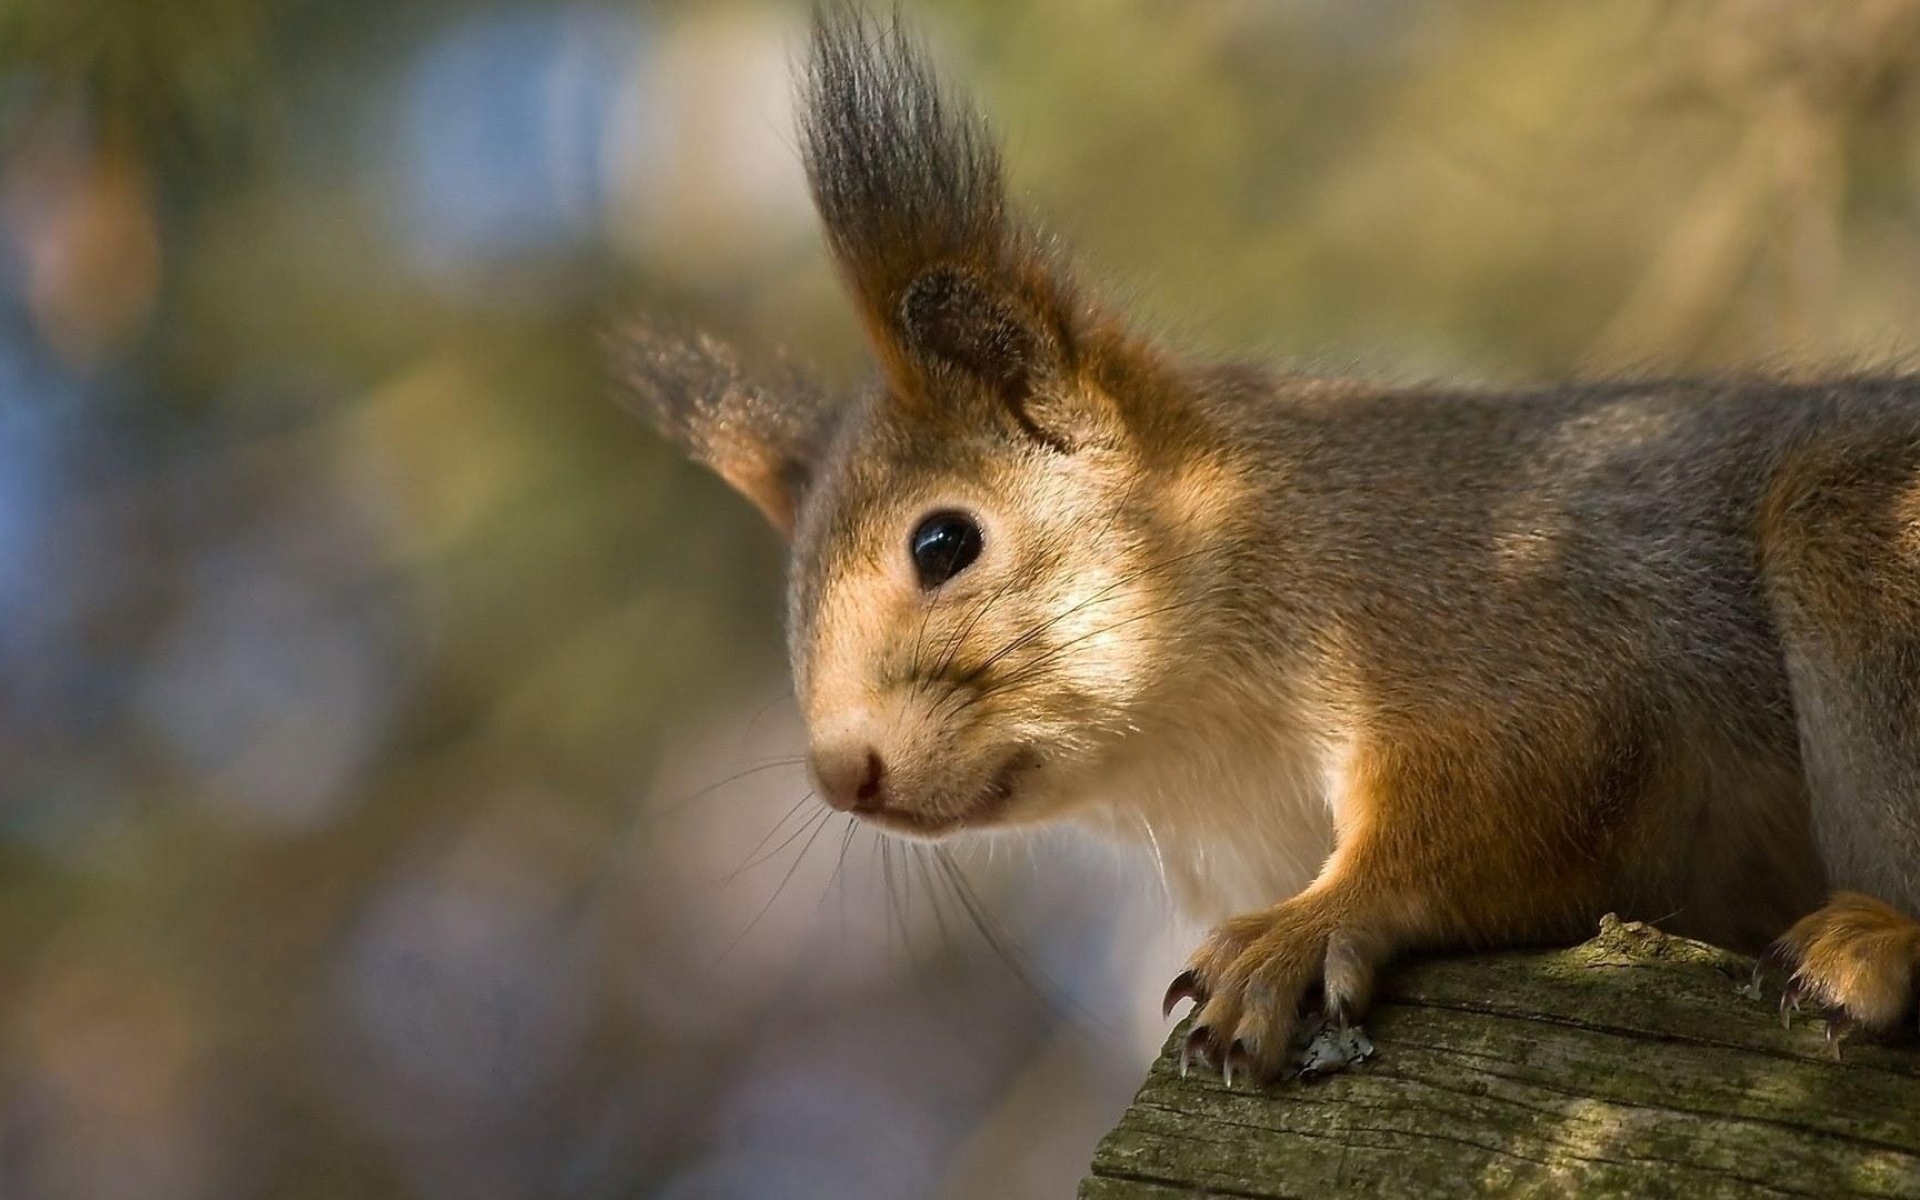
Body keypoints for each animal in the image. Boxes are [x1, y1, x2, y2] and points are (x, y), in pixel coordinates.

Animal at [619, 10, 1920, 1084]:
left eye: (943, 542)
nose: (845, 774)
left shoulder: (1494, 617)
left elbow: (1511, 794)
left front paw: (1300, 931)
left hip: (1864, 542)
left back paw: (1874, 944)